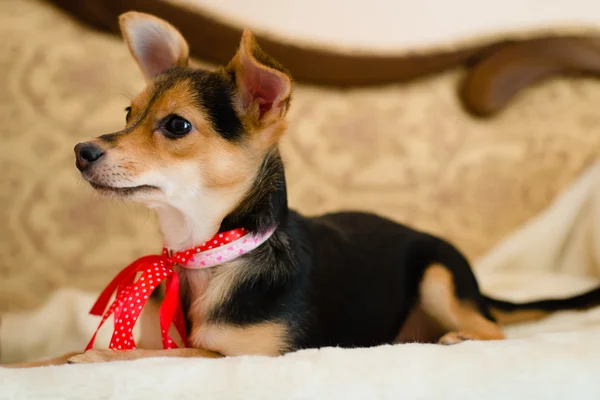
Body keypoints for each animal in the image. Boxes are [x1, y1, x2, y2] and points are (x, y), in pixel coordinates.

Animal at [5, 11, 600, 368]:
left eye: (175, 126)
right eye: (128, 114)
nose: (81, 151)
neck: (202, 254)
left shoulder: (241, 358)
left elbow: (163, 356)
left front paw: (93, 359)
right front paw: (31, 364)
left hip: (439, 277)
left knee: (493, 333)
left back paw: (456, 338)